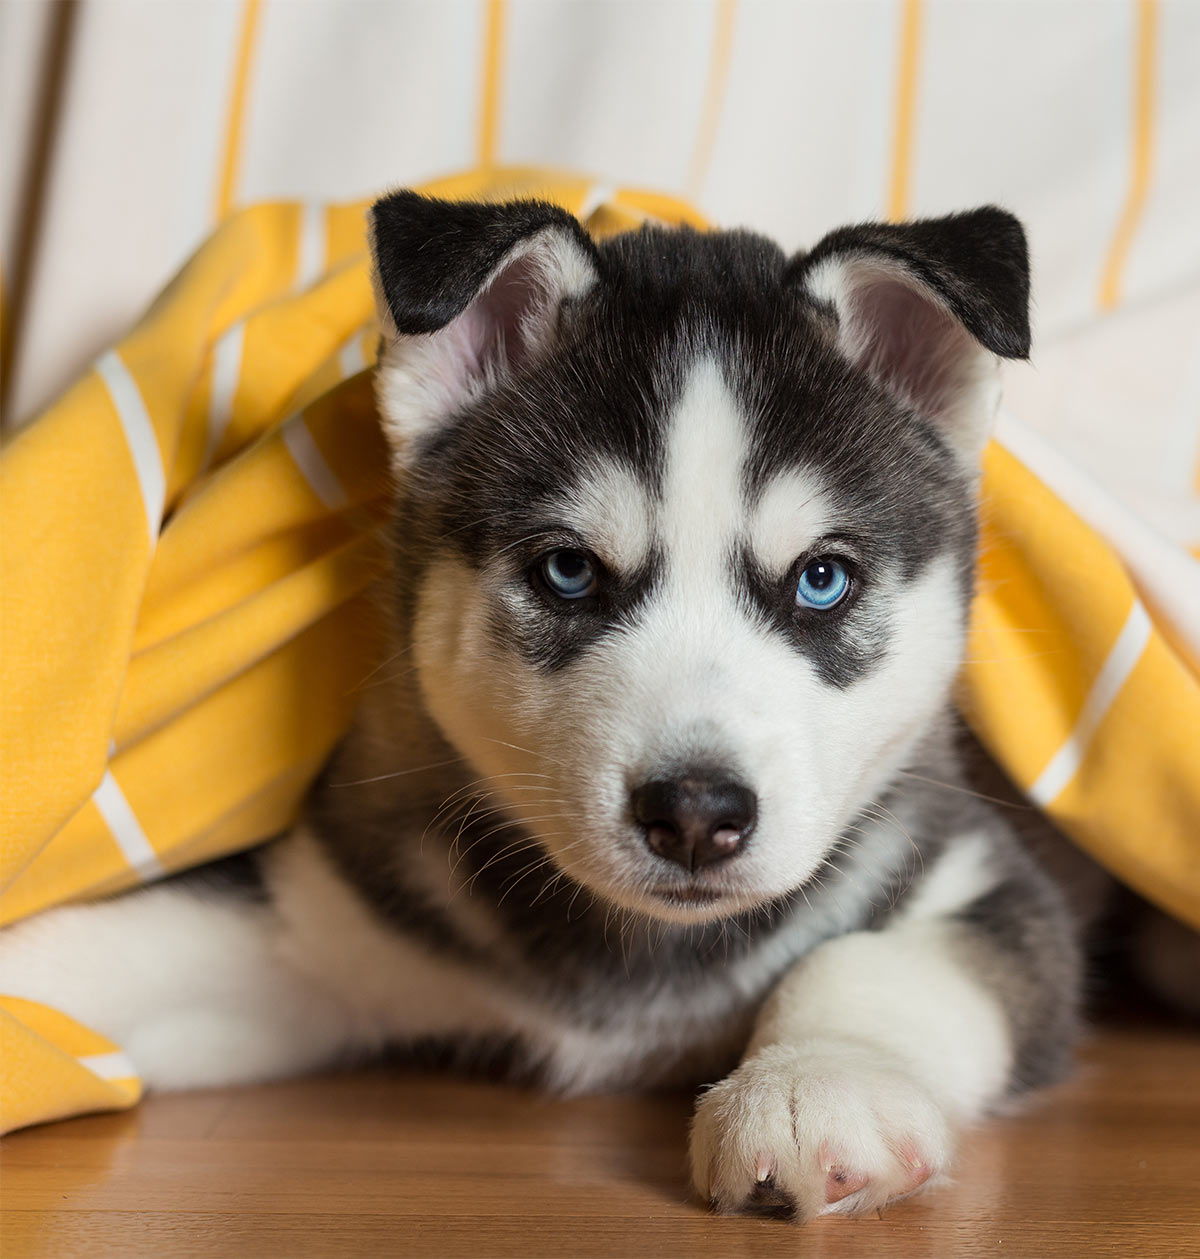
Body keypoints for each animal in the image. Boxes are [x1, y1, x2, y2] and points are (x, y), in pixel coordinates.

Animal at [2, 196, 1087, 1218]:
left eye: (822, 580)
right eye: (568, 571)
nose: (695, 812)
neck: (632, 958)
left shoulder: (981, 873)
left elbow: (865, 959)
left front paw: (813, 1082)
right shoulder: (316, 924)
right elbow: (133, 935)